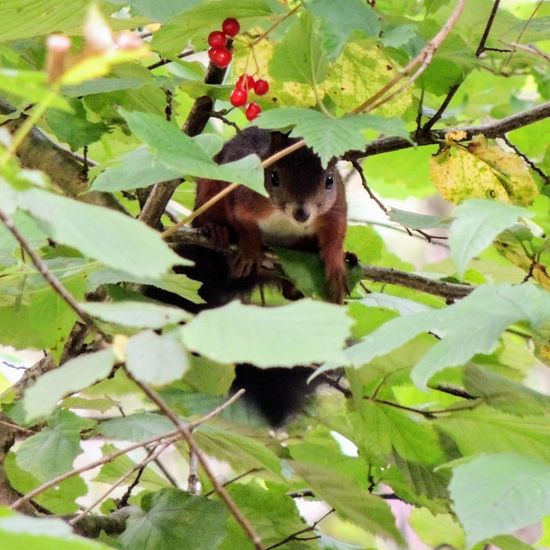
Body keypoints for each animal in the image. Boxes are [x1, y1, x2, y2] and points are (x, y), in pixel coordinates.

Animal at [194, 128, 350, 304]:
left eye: (330, 180)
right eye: (274, 177)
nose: (302, 214)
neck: (283, 217)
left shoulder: (336, 207)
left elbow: (335, 235)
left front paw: (336, 267)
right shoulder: (241, 191)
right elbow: (242, 222)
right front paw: (250, 251)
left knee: (289, 292)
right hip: (207, 188)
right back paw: (217, 230)